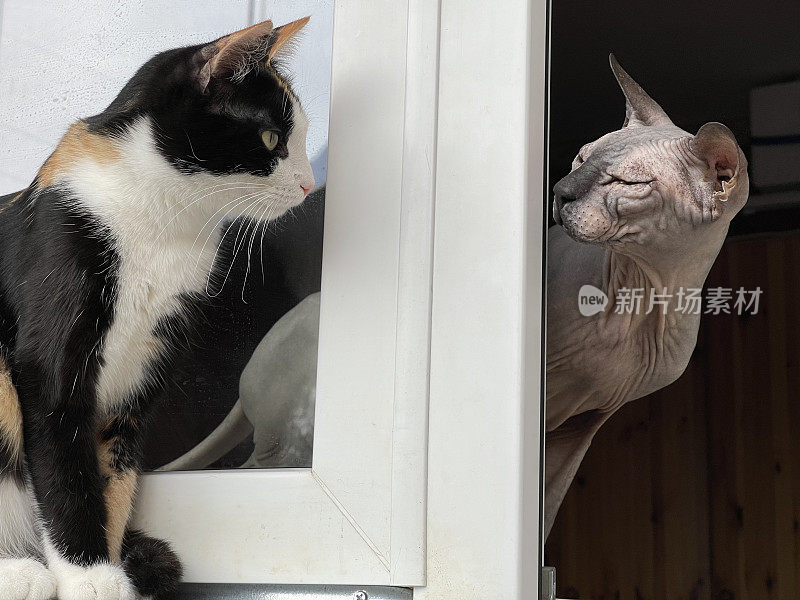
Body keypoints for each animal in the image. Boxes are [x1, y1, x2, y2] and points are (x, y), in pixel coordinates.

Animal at [0, 16, 318, 596]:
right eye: (271, 138)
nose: (308, 184)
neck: (164, 226)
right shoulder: (49, 354)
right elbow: (65, 466)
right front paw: (88, 577)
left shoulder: (141, 371)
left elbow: (113, 476)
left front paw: (109, 568)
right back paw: (21, 573)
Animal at [548, 55, 748, 540]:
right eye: (580, 157)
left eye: (625, 182)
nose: (559, 192)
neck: (644, 298)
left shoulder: (582, 422)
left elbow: (546, 509)